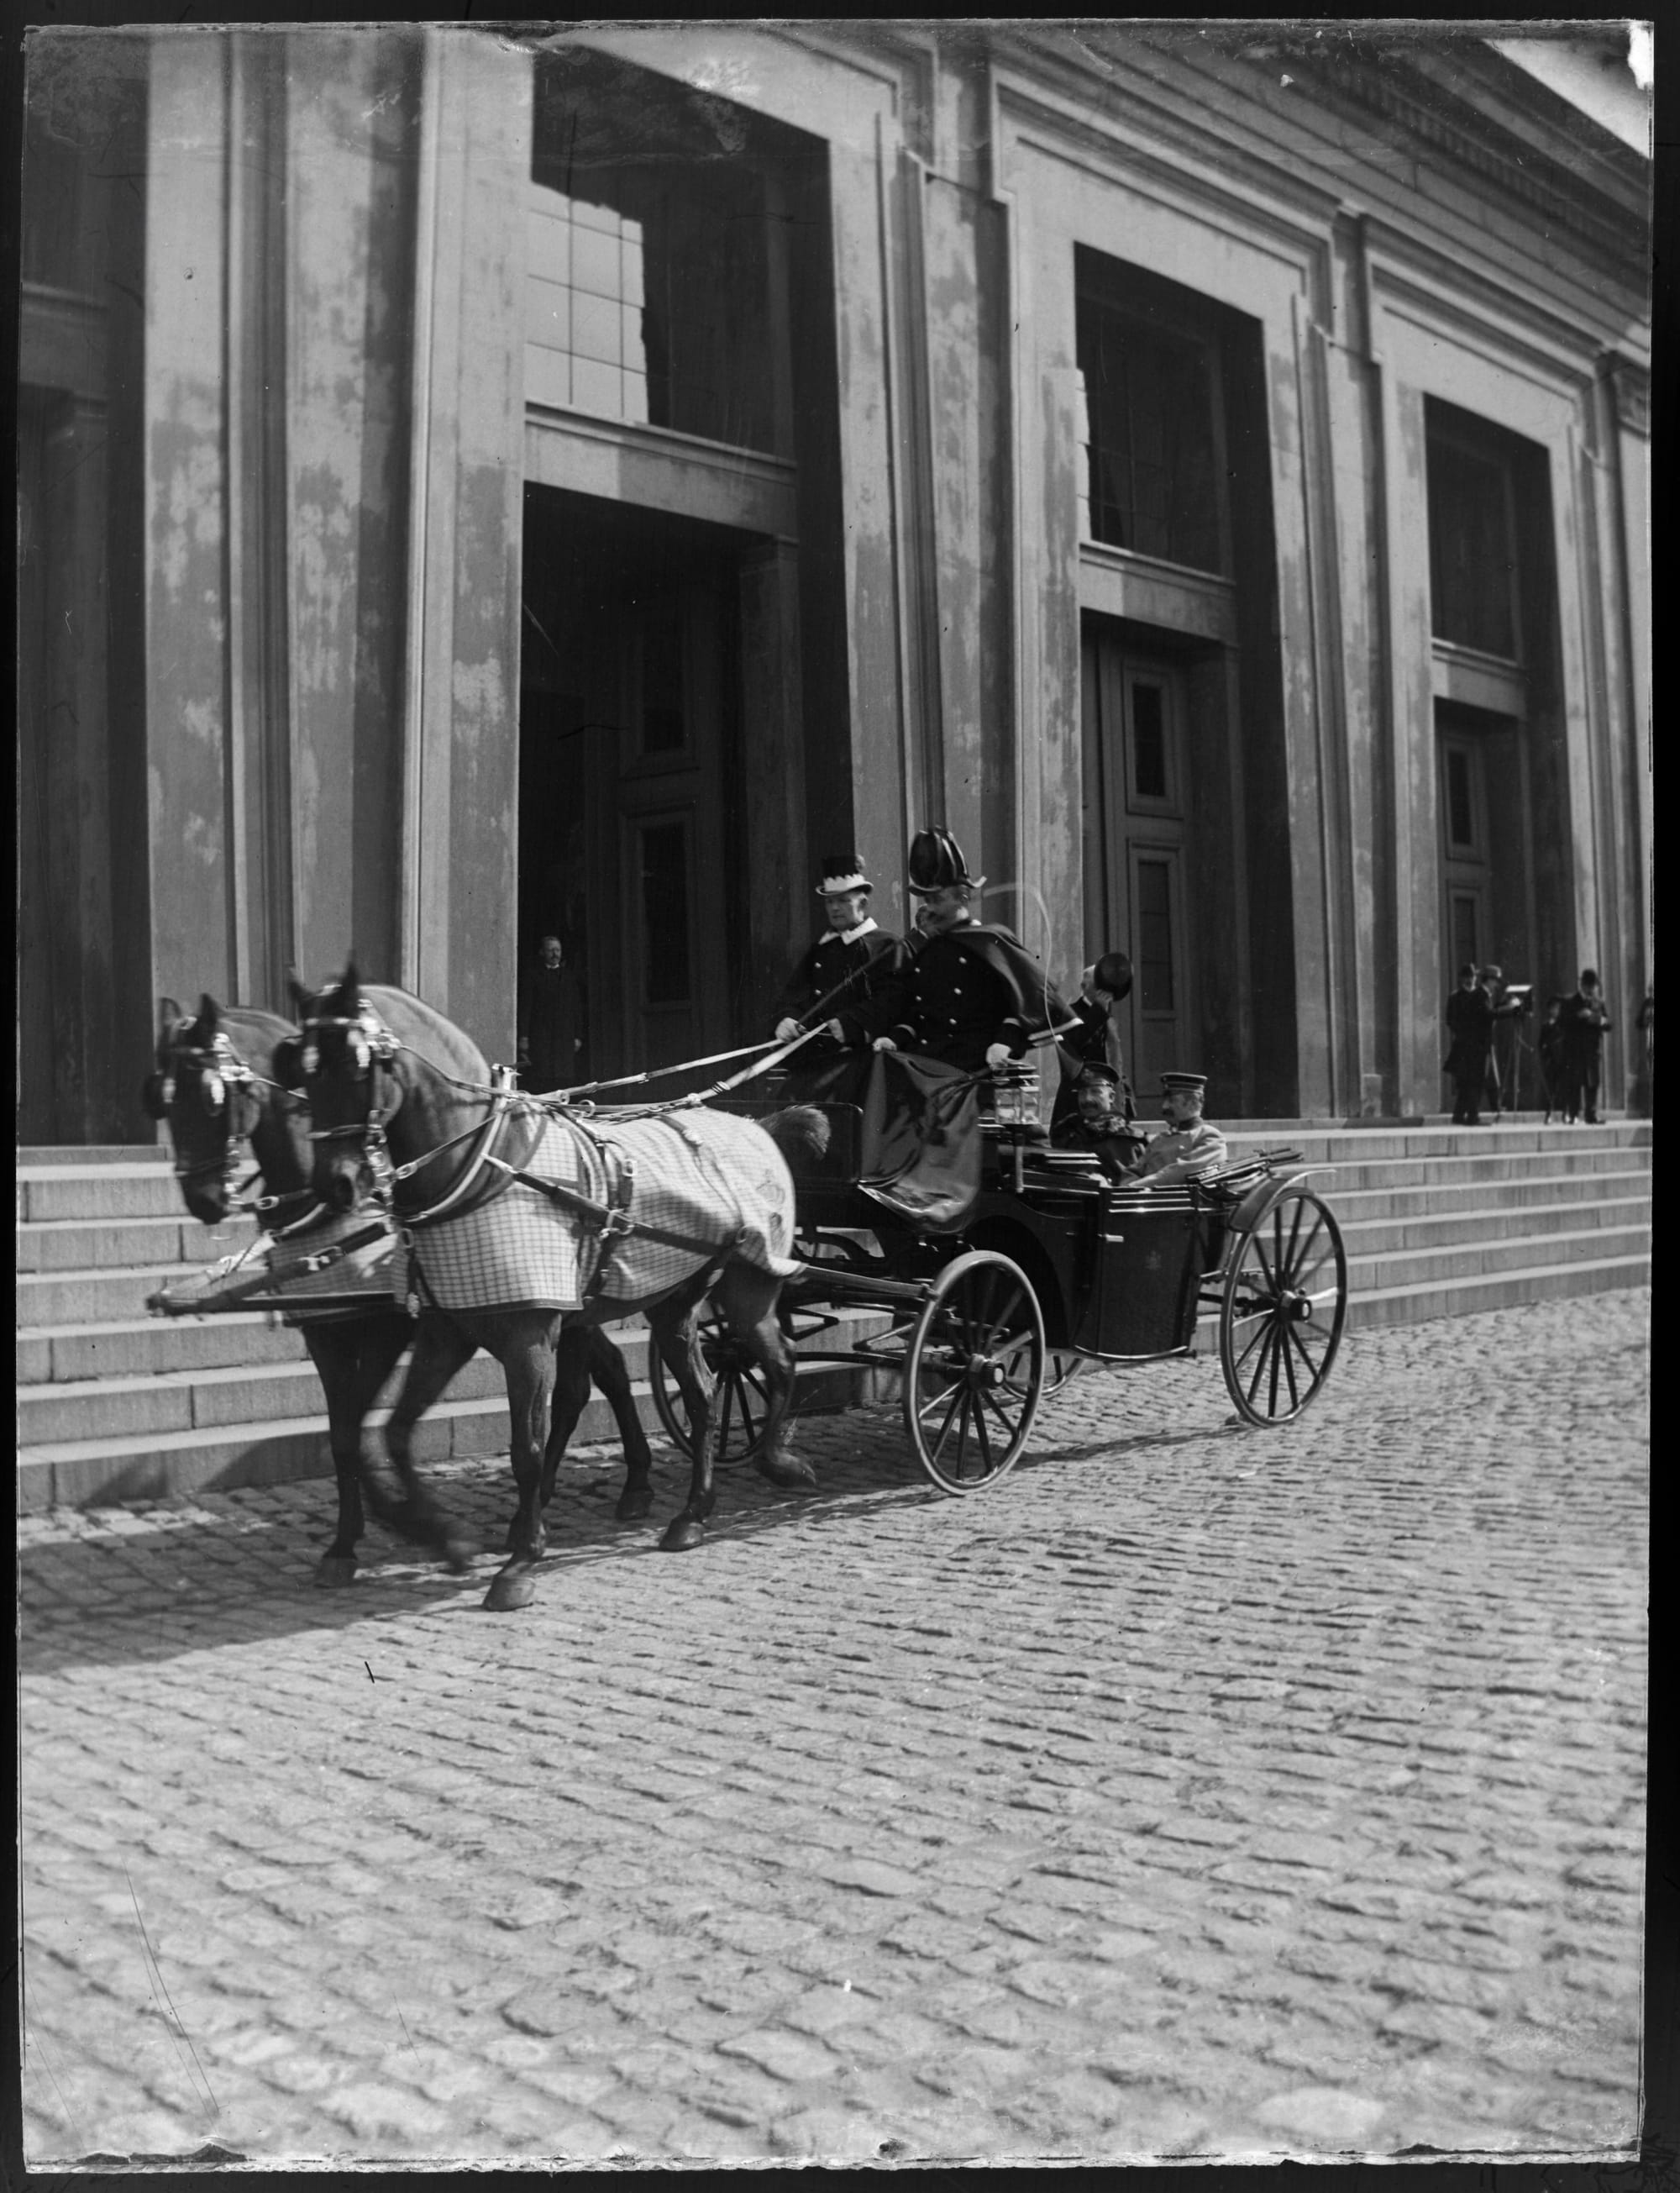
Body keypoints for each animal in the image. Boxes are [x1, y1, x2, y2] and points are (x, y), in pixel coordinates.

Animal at [146, 1004, 658, 1587]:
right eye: (163, 1097)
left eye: (213, 1097)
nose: (202, 1199)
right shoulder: (327, 1337)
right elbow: (343, 1436)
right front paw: (348, 1543)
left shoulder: (388, 1332)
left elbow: (360, 1433)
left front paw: (421, 1528)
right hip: (574, 1310)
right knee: (595, 1376)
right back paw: (593, 1490)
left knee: (594, 1380)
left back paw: (619, 1488)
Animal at [291, 965, 828, 1613]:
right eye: (302, 1067)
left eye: (357, 1064)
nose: (336, 1185)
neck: (488, 1167)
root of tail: (757, 1125)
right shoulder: (448, 1334)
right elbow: (396, 1433)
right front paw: (441, 1535)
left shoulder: (530, 1340)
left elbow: (527, 1447)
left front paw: (521, 1560)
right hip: (677, 1306)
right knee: (702, 1394)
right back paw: (693, 1513)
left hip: (750, 1291)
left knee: (780, 1362)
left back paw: (777, 1463)